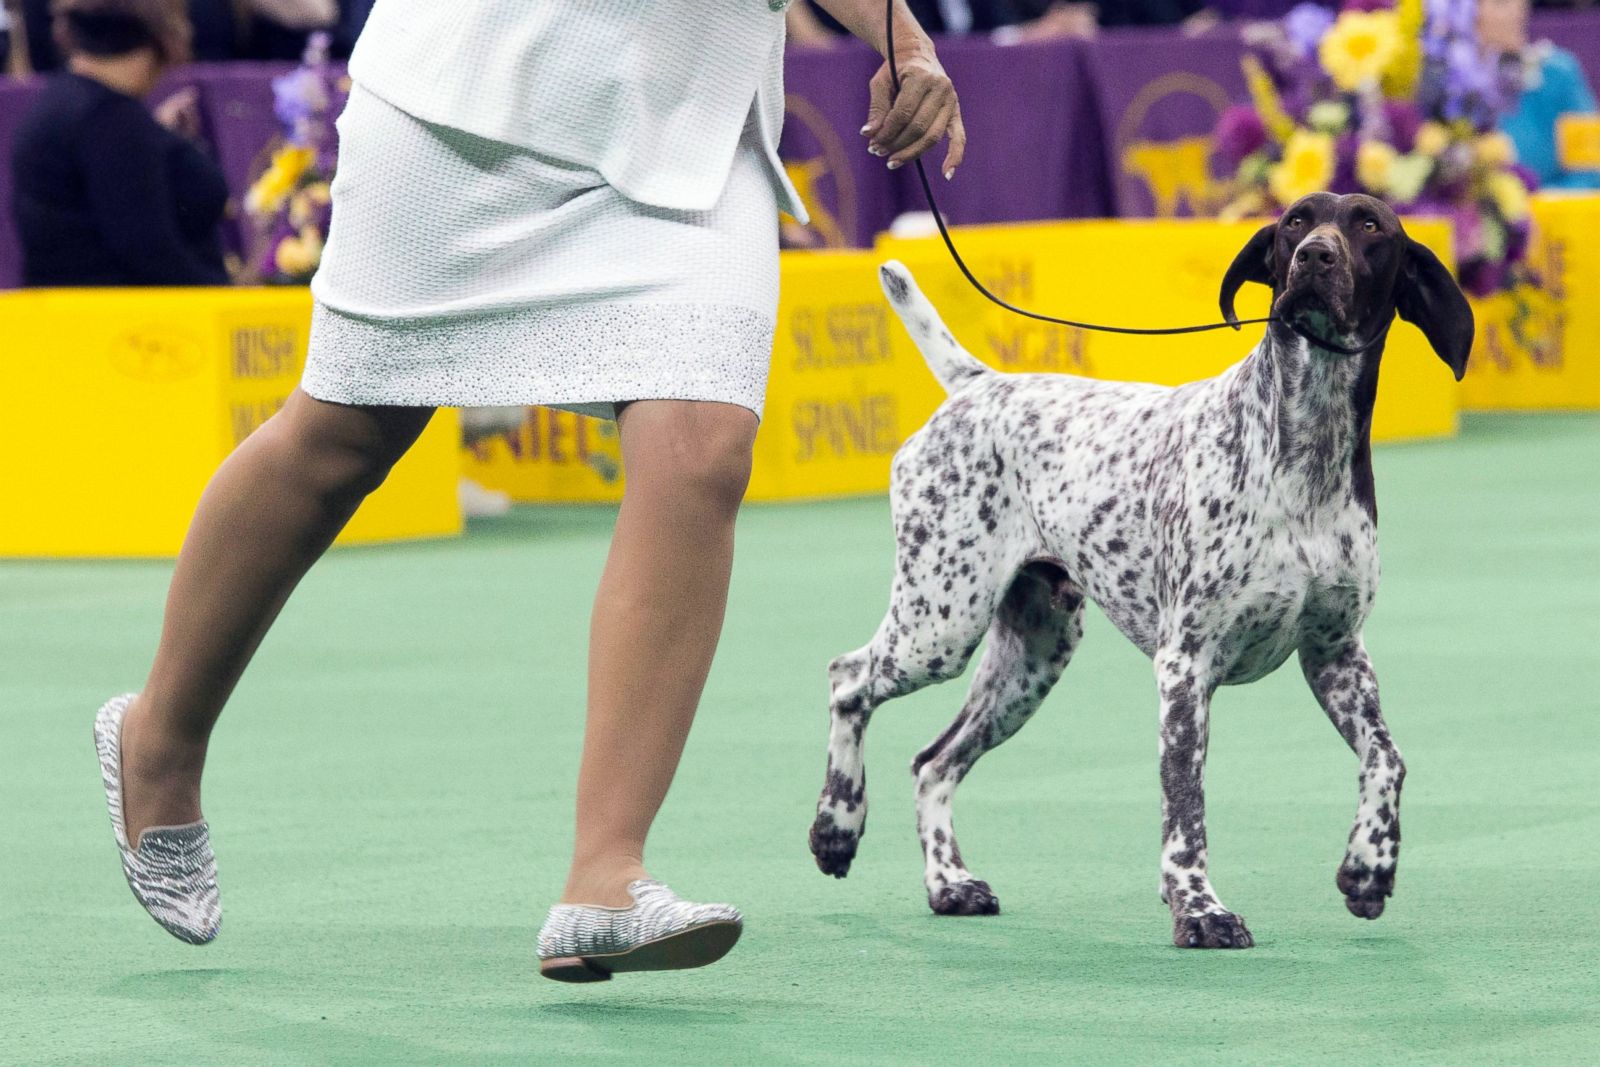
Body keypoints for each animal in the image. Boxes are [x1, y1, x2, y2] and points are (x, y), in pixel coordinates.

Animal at [812, 194, 1472, 953]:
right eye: (1294, 225)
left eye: (1370, 227)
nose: (1315, 258)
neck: (1306, 447)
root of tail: (982, 385)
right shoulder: (1186, 667)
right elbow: (1186, 810)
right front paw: (1200, 909)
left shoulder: (1335, 653)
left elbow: (1387, 759)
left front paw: (1369, 867)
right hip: (941, 622)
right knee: (848, 680)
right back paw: (836, 826)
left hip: (1030, 658)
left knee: (933, 763)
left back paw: (949, 883)